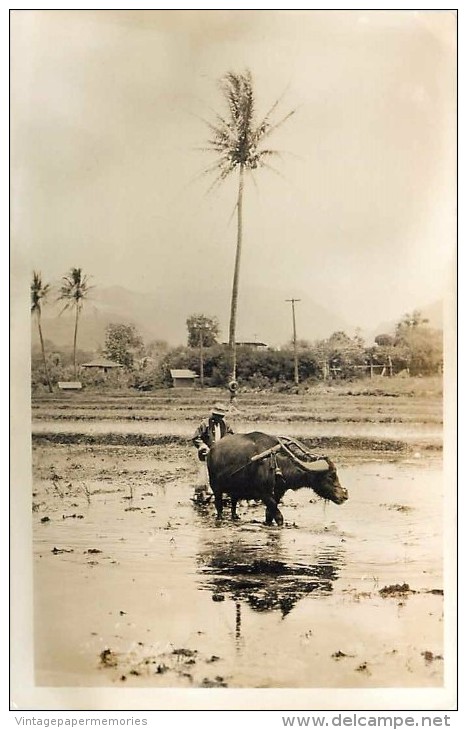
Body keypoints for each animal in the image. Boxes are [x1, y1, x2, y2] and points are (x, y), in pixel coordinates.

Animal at [207, 430, 348, 528]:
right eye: (330, 475)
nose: (344, 495)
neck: (277, 464)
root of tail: (211, 451)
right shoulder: (264, 494)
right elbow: (279, 516)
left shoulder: (279, 493)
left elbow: (269, 515)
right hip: (216, 488)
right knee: (219, 507)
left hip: (235, 491)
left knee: (233, 504)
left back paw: (235, 517)